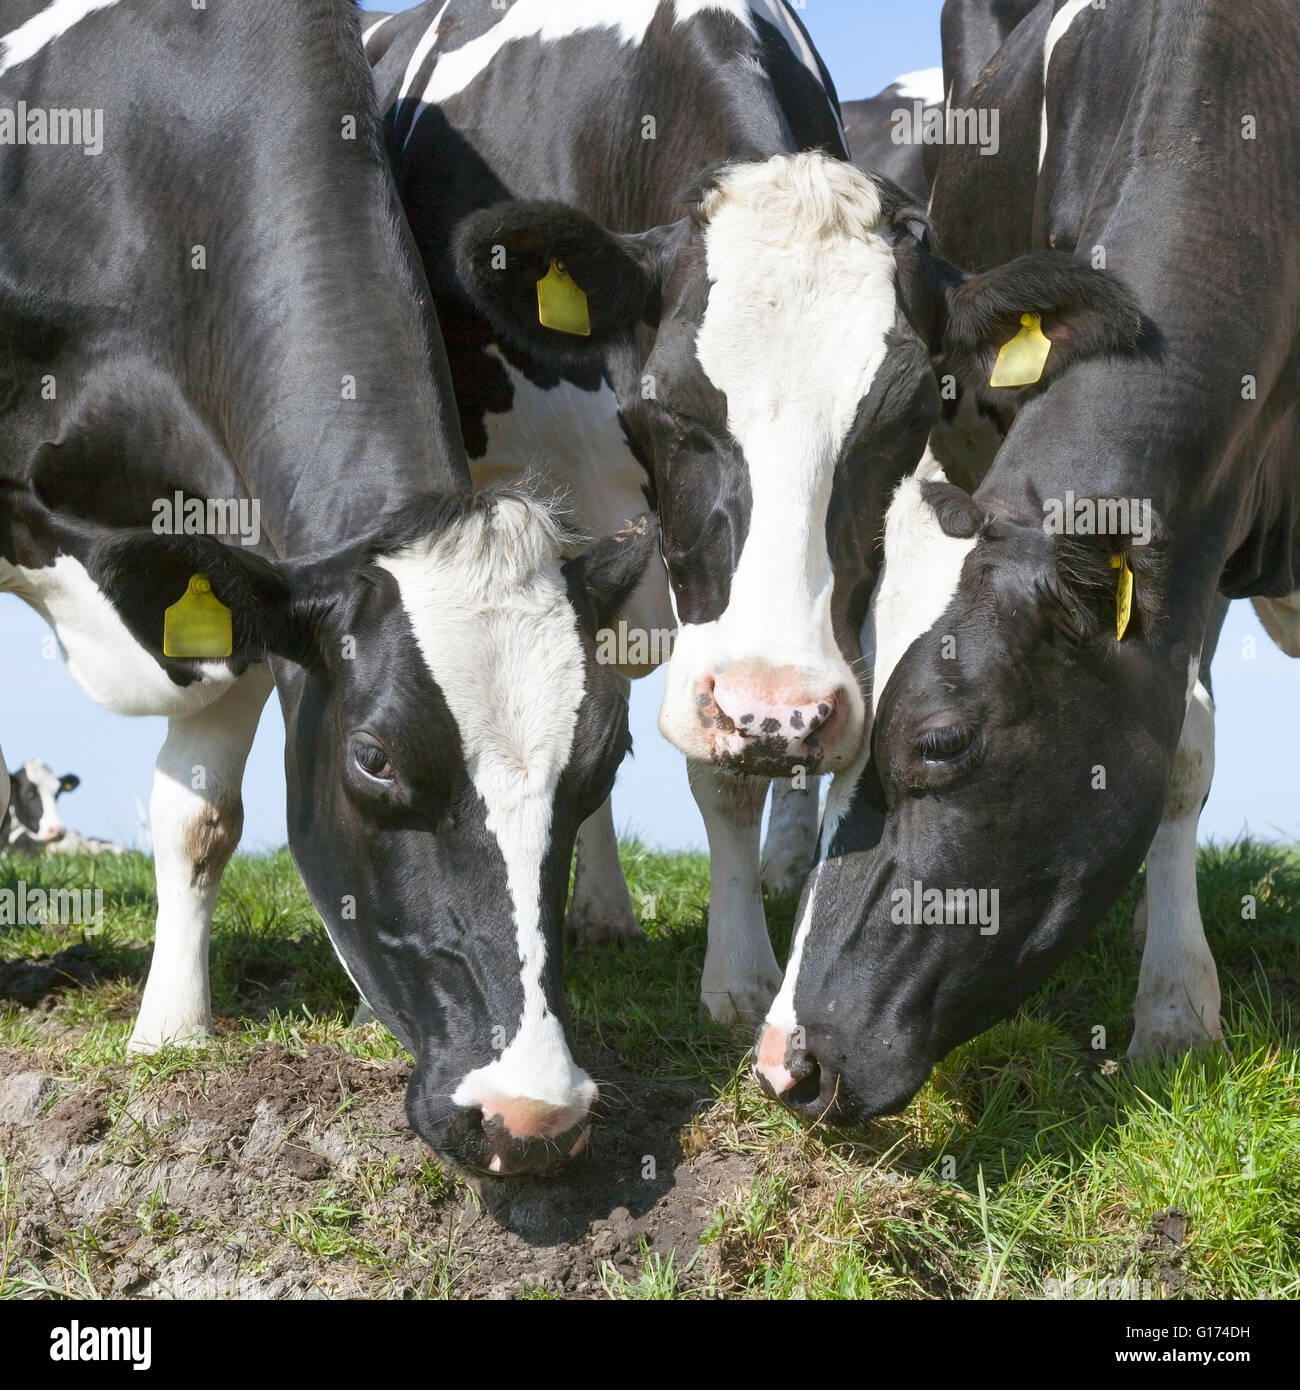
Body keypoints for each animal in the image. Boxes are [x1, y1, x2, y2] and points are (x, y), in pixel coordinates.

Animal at [0, 0, 653, 1176]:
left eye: (601, 760)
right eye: (376, 759)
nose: (533, 1116)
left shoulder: (238, 542)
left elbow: (201, 816)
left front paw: (168, 1031)